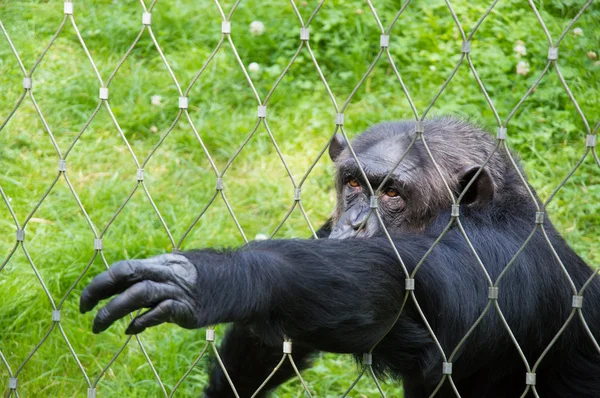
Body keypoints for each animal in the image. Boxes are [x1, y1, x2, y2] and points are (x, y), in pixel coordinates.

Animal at [79, 119, 600, 398]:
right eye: (353, 183)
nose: (355, 224)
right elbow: (288, 330)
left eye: (391, 193)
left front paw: (212, 279)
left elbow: (379, 297)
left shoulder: (486, 266)